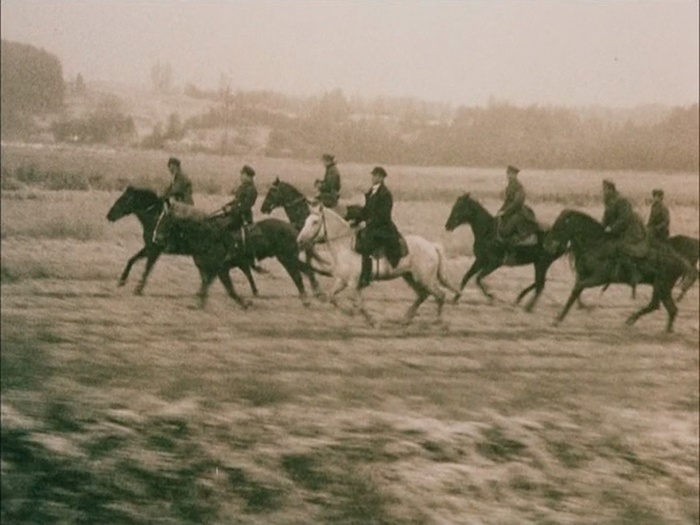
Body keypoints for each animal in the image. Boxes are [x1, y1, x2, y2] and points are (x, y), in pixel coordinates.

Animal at [106, 187, 262, 294]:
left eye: (123, 200)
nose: (109, 216)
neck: (156, 219)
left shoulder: (155, 250)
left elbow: (147, 268)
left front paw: (138, 289)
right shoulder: (149, 247)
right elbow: (132, 260)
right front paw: (122, 281)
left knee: (244, 268)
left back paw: (253, 292)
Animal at [154, 200, 322, 308]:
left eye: (164, 220)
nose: (155, 237)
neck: (207, 236)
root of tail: (293, 227)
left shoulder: (220, 269)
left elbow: (229, 289)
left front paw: (245, 303)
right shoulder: (208, 269)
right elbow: (205, 286)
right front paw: (199, 303)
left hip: (287, 258)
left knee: (297, 275)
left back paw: (307, 299)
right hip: (288, 257)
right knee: (305, 270)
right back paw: (315, 294)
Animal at [296, 203, 456, 326]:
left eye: (315, 222)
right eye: (306, 220)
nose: (300, 241)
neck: (345, 246)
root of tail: (432, 245)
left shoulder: (353, 283)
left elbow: (358, 304)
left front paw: (371, 321)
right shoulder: (342, 281)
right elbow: (332, 297)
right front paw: (349, 312)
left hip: (424, 278)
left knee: (440, 295)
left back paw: (439, 322)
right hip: (411, 277)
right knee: (423, 295)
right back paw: (406, 319)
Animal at [544, 209, 692, 332]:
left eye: (561, 222)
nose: (549, 245)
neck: (596, 244)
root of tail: (681, 261)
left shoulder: (598, 278)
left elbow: (577, 289)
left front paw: (558, 318)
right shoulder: (582, 276)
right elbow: (574, 293)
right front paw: (560, 318)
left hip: (662, 286)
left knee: (666, 307)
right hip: (660, 287)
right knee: (662, 307)